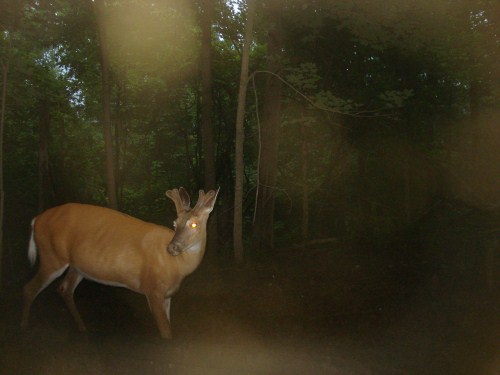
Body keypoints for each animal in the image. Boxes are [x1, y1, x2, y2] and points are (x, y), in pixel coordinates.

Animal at [20, 189, 218, 340]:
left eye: (194, 224)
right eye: (175, 223)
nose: (172, 247)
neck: (176, 267)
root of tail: (36, 219)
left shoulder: (168, 294)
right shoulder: (152, 289)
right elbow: (165, 332)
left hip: (77, 266)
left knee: (64, 289)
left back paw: (83, 329)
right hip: (52, 256)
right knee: (29, 289)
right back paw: (25, 328)